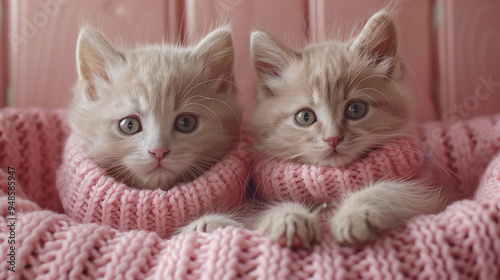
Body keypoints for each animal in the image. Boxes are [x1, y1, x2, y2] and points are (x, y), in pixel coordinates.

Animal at [250, 11, 450, 247]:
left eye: (356, 109)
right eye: (305, 117)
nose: (333, 138)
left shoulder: (431, 191)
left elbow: (391, 189)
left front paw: (355, 214)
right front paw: (288, 217)